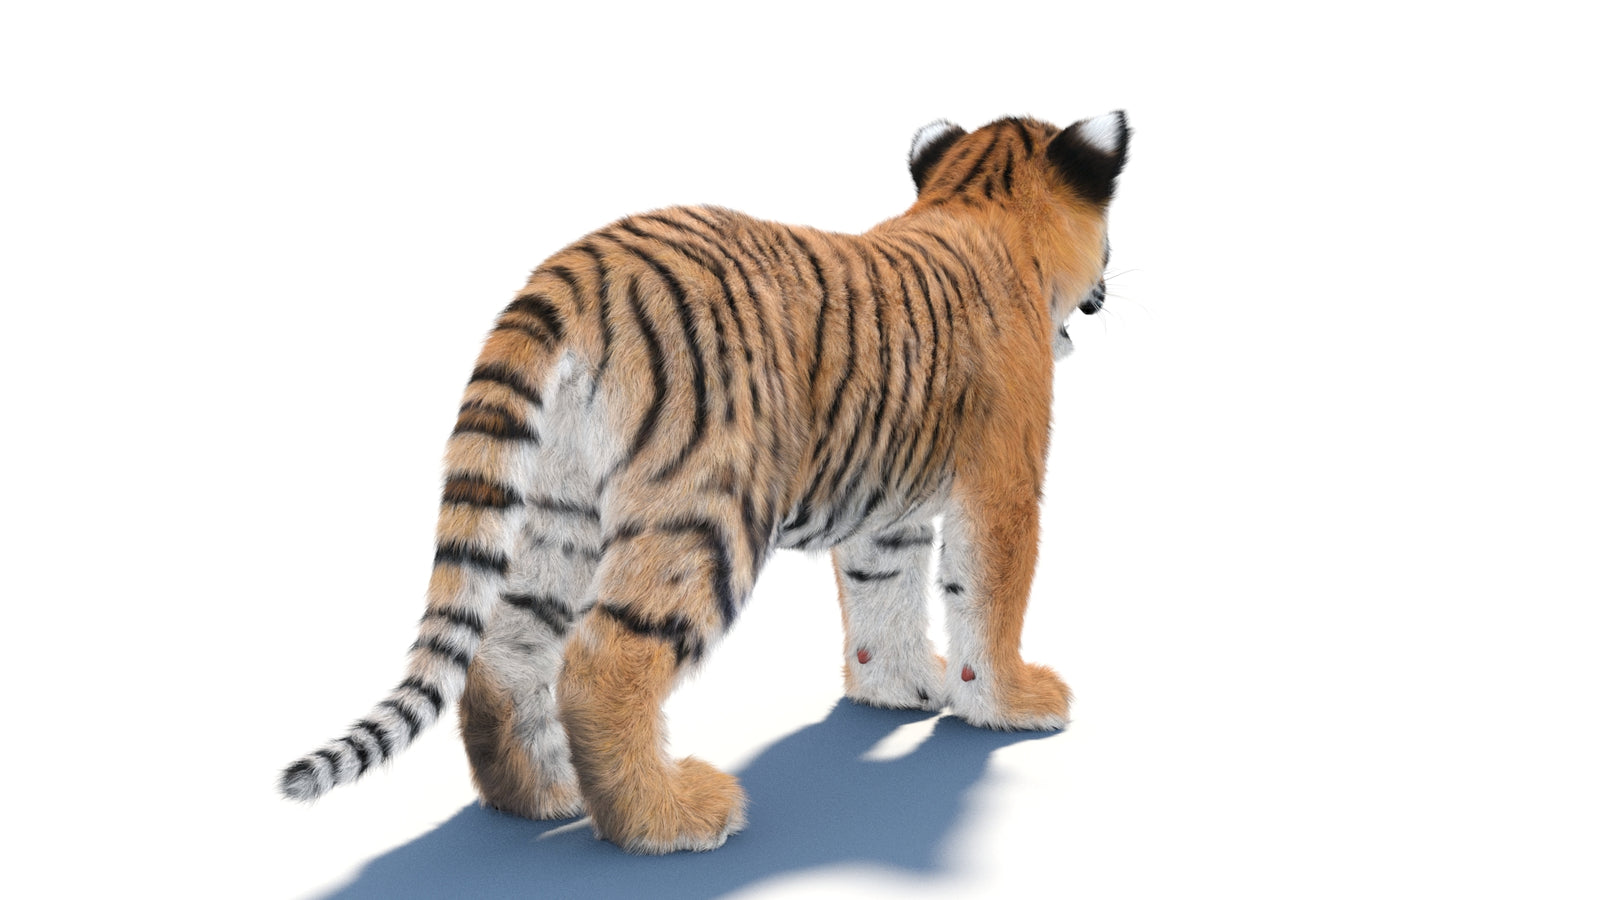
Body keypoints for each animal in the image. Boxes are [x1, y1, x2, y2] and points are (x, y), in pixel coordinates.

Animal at [279, 110, 1131, 854]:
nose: (1105, 287)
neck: (980, 202)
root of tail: (575, 269)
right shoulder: (1002, 482)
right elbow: (990, 595)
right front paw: (1014, 702)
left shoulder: (887, 508)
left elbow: (882, 594)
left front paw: (898, 687)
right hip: (707, 507)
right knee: (601, 663)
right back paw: (669, 818)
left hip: (556, 510)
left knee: (503, 656)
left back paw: (542, 795)